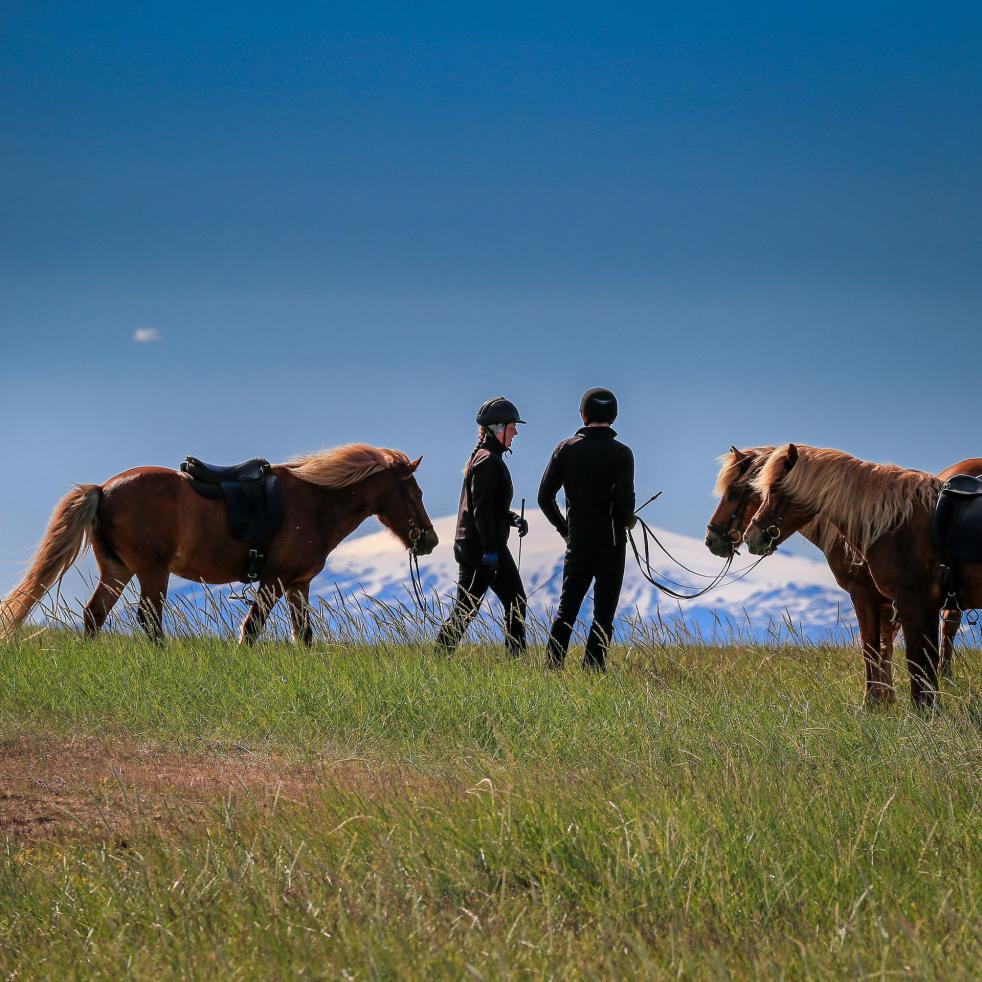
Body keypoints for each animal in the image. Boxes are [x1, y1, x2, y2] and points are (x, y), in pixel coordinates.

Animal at [0, 446, 438, 644]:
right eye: (415, 493)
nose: (431, 539)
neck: (315, 503)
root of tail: (104, 490)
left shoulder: (298, 585)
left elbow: (304, 634)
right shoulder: (275, 580)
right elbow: (252, 628)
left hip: (118, 570)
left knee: (94, 616)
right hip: (152, 571)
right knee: (148, 619)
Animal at [704, 446, 980, 708]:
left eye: (735, 492)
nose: (711, 539)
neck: (889, 523)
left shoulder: (880, 598)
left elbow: (883, 651)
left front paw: (876, 704)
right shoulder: (891, 604)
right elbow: (887, 649)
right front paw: (886, 700)